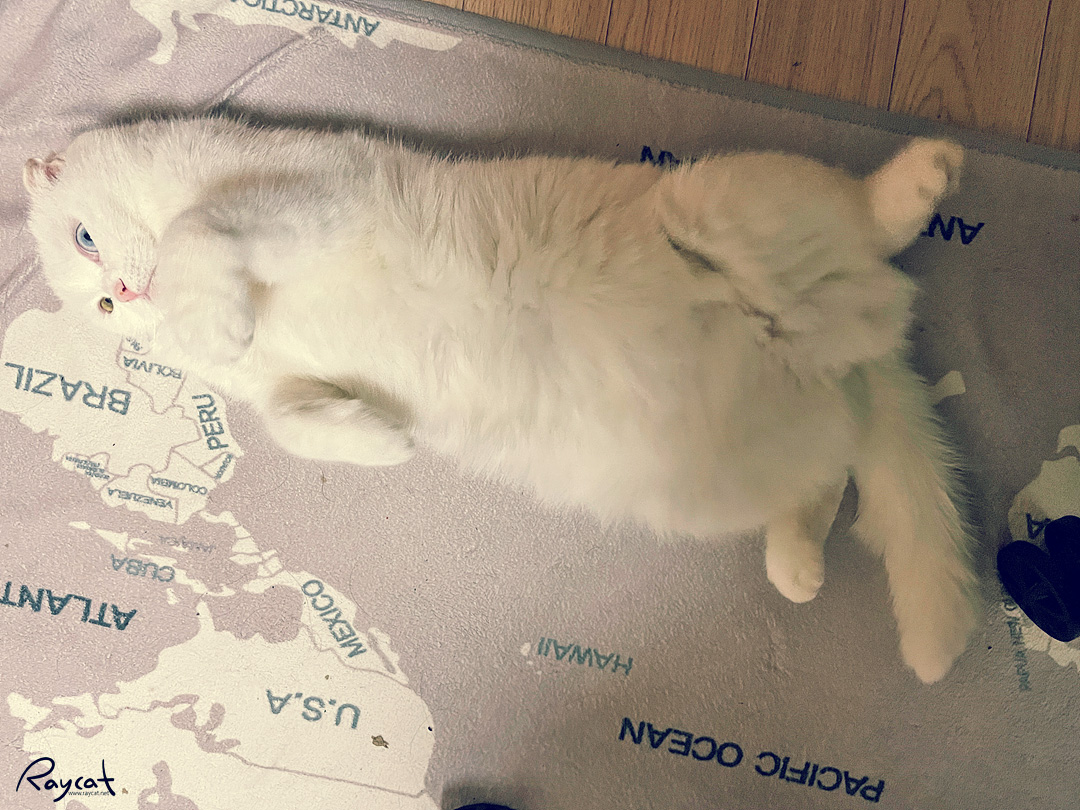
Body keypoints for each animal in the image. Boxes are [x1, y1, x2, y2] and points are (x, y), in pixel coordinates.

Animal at [24, 116, 978, 683]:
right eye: (103, 310)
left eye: (85, 237)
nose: (127, 296)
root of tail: (852, 340)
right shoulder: (285, 381)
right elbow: (292, 421)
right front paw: (383, 439)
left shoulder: (312, 198)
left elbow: (200, 229)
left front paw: (212, 315)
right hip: (719, 480)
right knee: (827, 479)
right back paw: (798, 569)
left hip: (720, 198)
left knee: (867, 217)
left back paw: (925, 176)